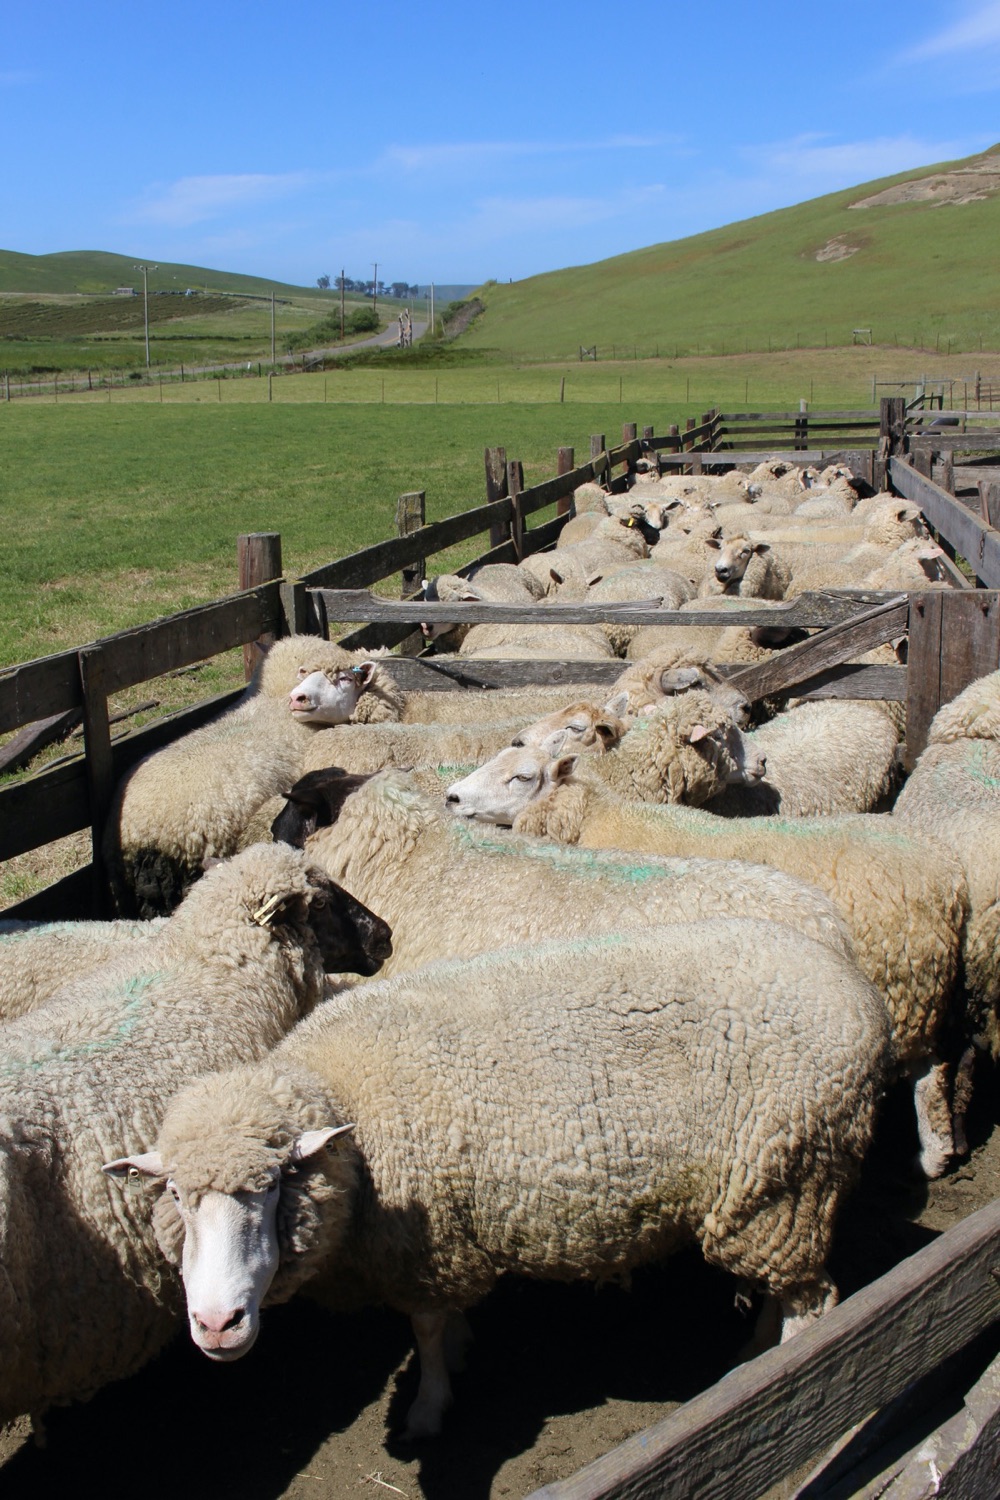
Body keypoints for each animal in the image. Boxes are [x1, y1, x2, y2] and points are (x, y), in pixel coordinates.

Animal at [115, 917, 890, 1437]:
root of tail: (858, 988)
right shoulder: (443, 1233)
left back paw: (789, 1363)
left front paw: (431, 1405)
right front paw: (460, 1352)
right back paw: (755, 1353)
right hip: (775, 1190)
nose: (217, 1325)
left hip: (791, 1170)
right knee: (786, 1281)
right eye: (176, 1195)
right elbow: (444, 1322)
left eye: (271, 1186)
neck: (346, 1103)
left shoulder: (426, 1242)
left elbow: (426, 1329)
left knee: (815, 1300)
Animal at [445, 747, 967, 1176]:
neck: (598, 816)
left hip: (906, 981)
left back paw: (932, 1155)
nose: (451, 797)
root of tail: (951, 876)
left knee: (927, 1067)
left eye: (522, 776)